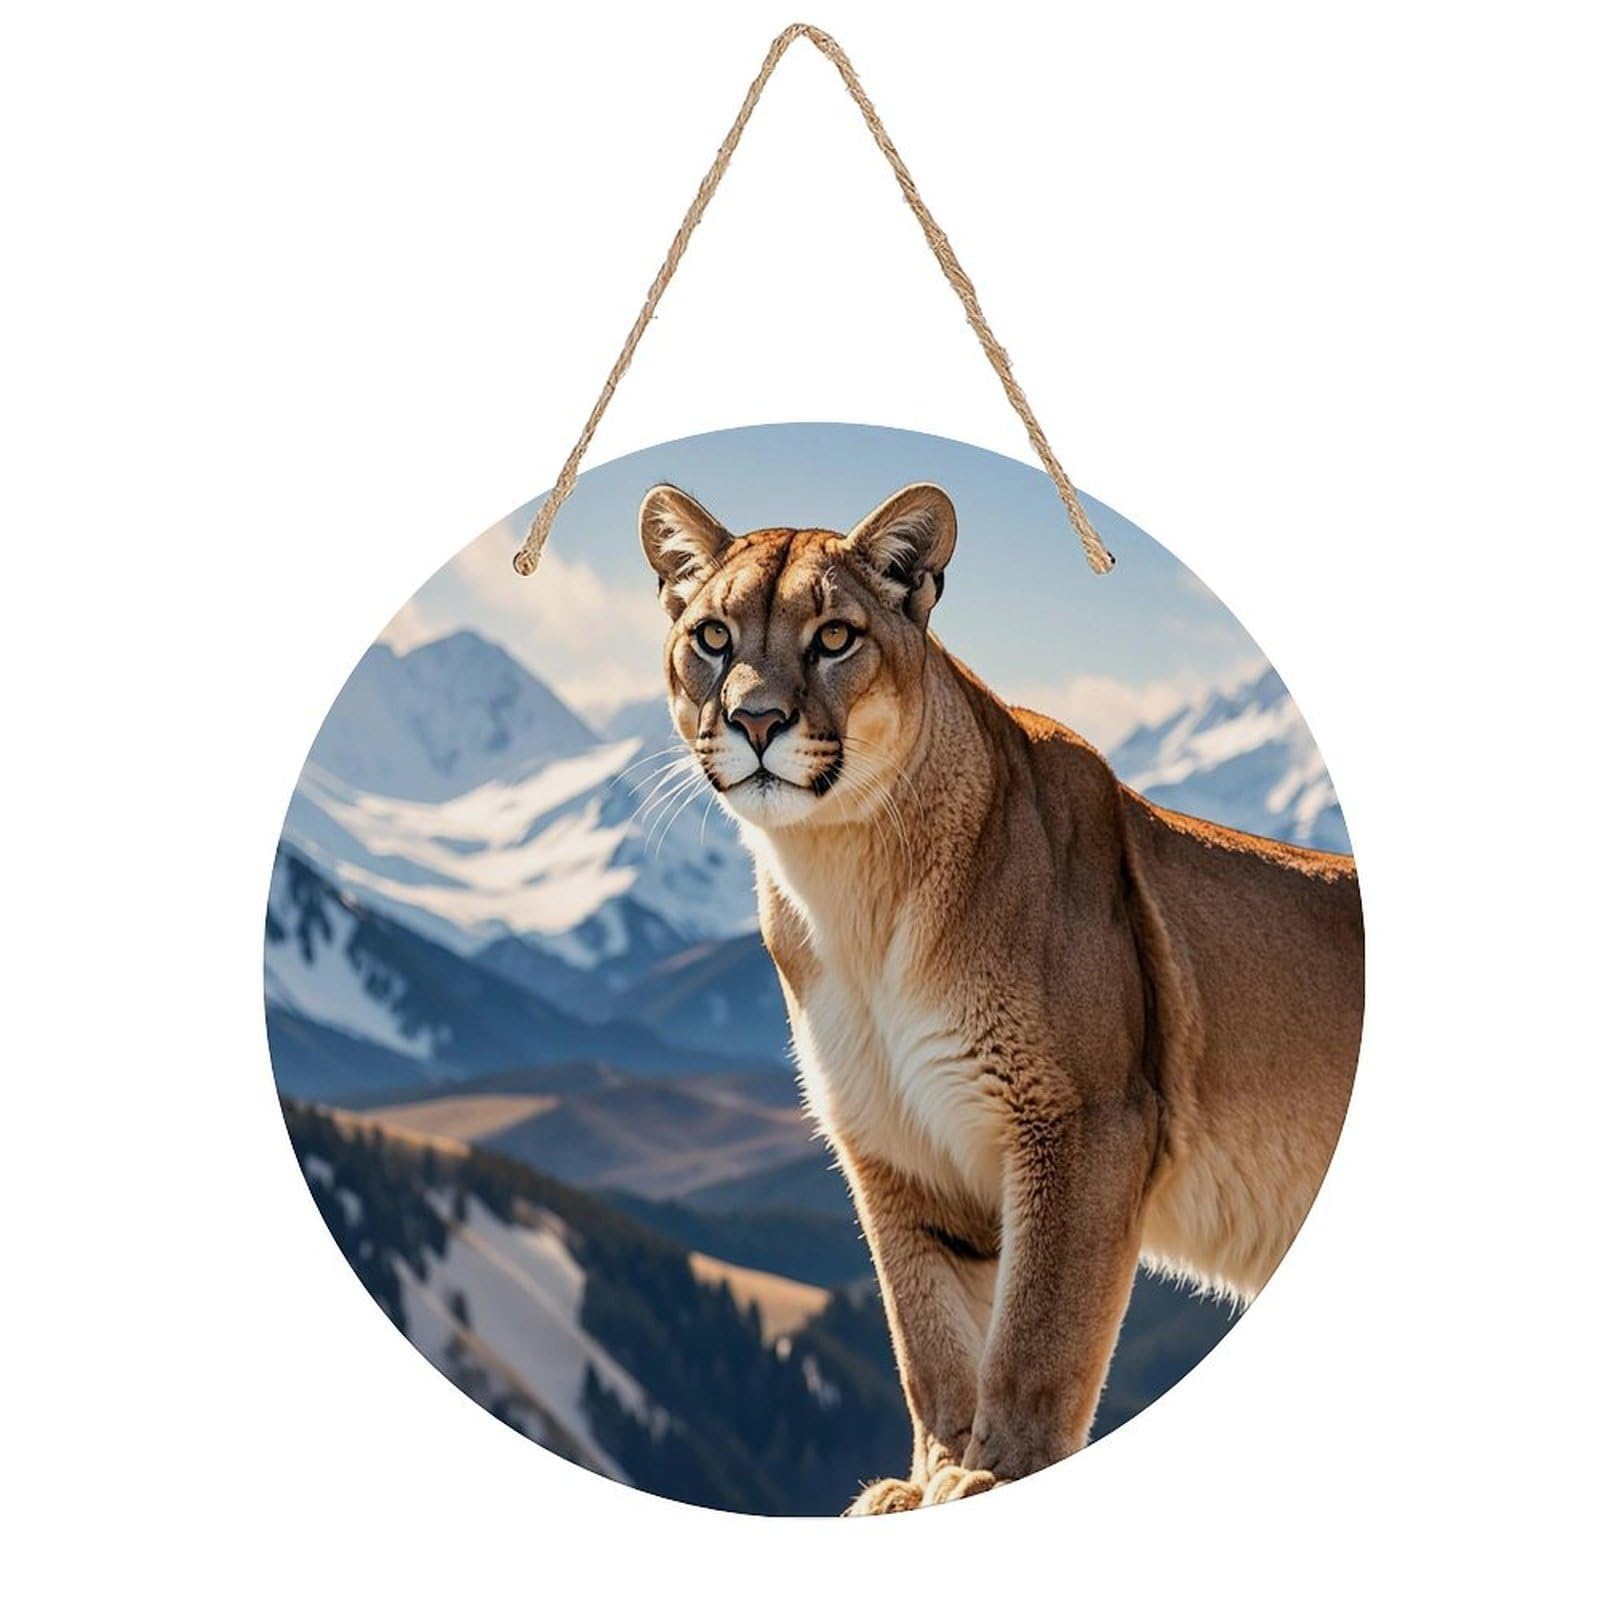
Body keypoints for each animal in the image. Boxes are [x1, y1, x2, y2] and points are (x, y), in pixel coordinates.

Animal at [638, 480, 1364, 1513]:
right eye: (711, 636)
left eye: (834, 637)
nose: (756, 720)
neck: (852, 884)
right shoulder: (894, 1144)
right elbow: (930, 1338)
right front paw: (928, 1476)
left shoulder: (1086, 1119)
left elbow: (1038, 1329)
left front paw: (994, 1473)